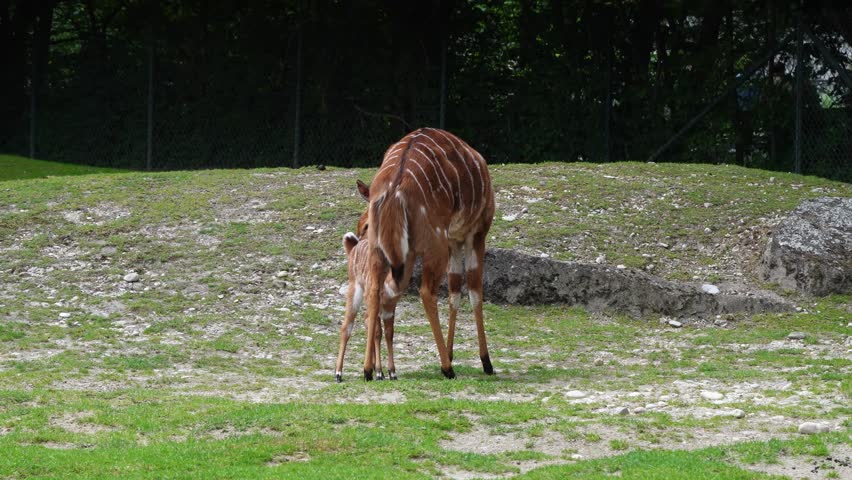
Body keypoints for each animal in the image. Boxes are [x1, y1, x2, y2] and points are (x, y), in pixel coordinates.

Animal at [334, 231, 401, 382]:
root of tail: (353, 247)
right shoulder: (374, 304)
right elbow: (377, 333)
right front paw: (378, 372)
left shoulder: (390, 308)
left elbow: (389, 333)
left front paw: (391, 372)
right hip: (355, 291)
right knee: (346, 326)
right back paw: (338, 373)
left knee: (366, 323)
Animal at [361, 127, 495, 380]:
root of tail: (395, 188)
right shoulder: (475, 235)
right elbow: (474, 292)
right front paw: (486, 361)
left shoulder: (454, 242)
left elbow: (455, 292)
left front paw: (452, 352)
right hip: (435, 248)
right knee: (426, 292)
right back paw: (447, 368)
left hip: (382, 250)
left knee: (375, 289)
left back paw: (368, 369)